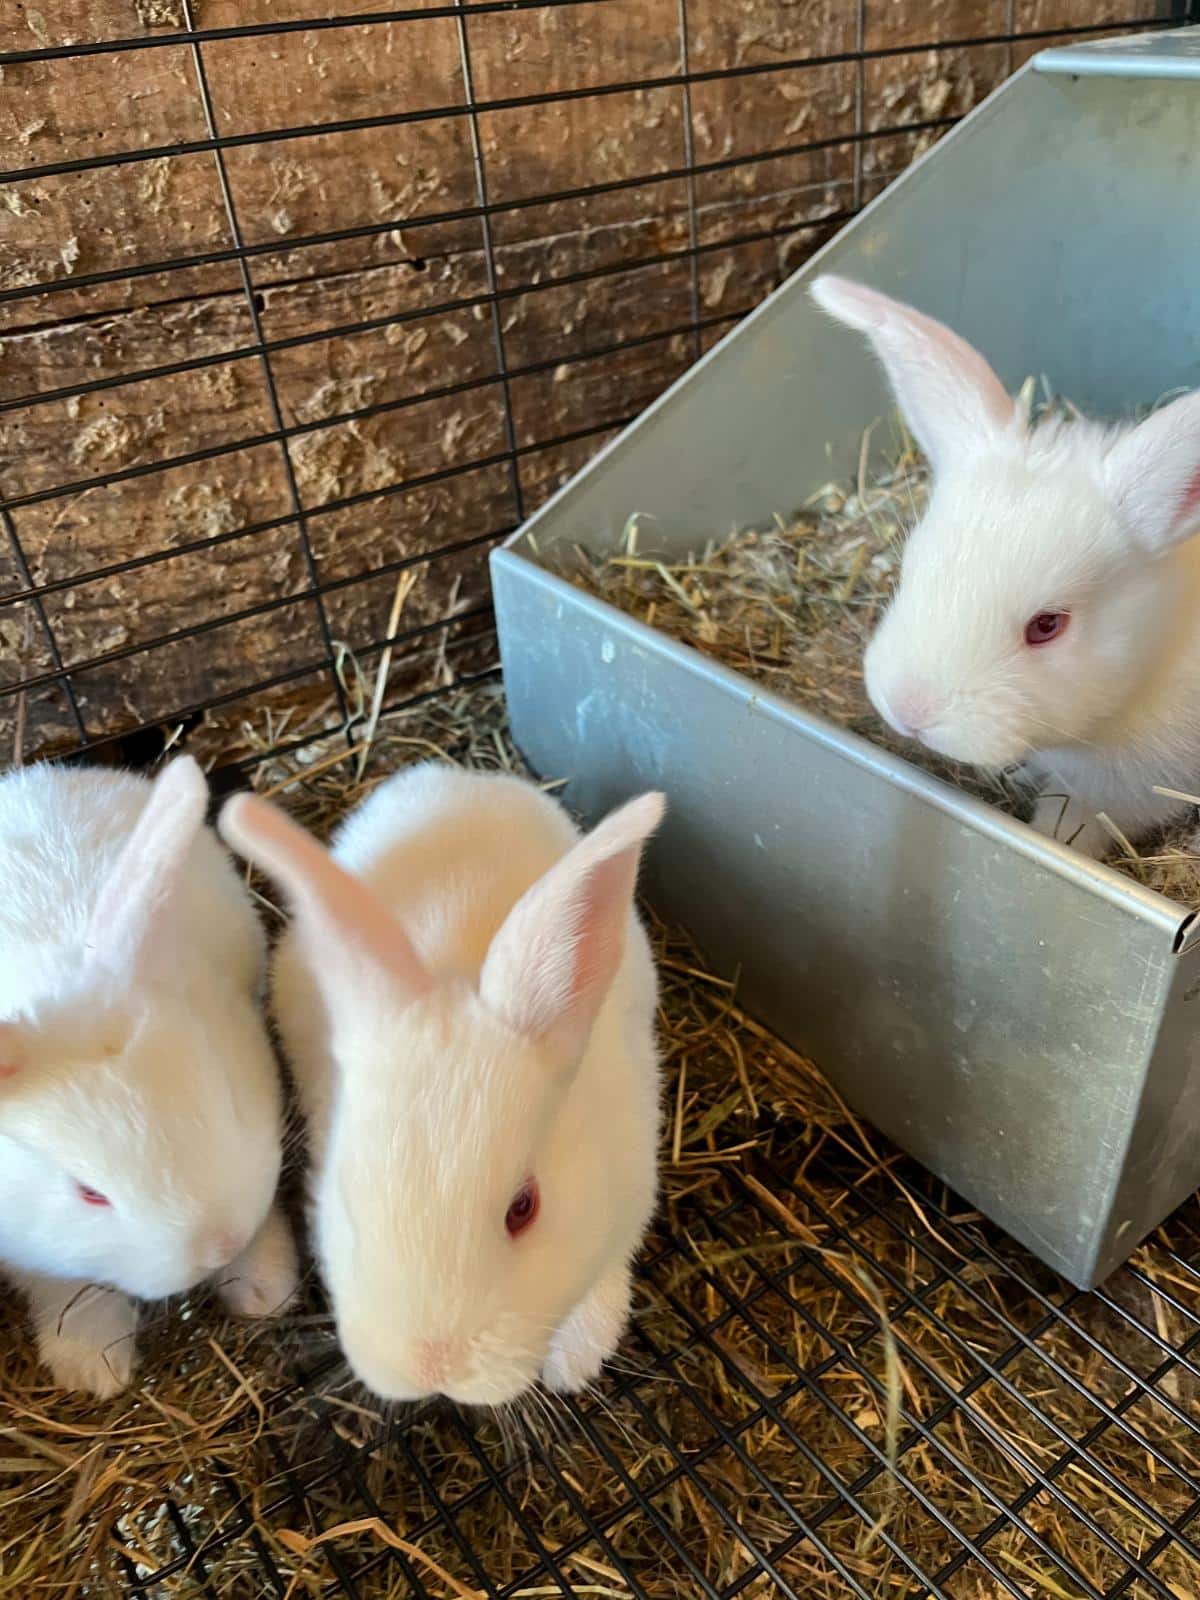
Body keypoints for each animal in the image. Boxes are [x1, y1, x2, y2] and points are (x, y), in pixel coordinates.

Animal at [0, 756, 297, 1399]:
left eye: (228, 1098)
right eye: (89, 1193)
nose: (219, 1243)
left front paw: (266, 1290)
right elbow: (70, 1287)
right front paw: (92, 1368)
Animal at [810, 273, 1200, 858]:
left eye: (1048, 625)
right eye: (908, 571)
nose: (911, 710)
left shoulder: (1124, 793)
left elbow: (1075, 825)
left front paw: (1048, 836)